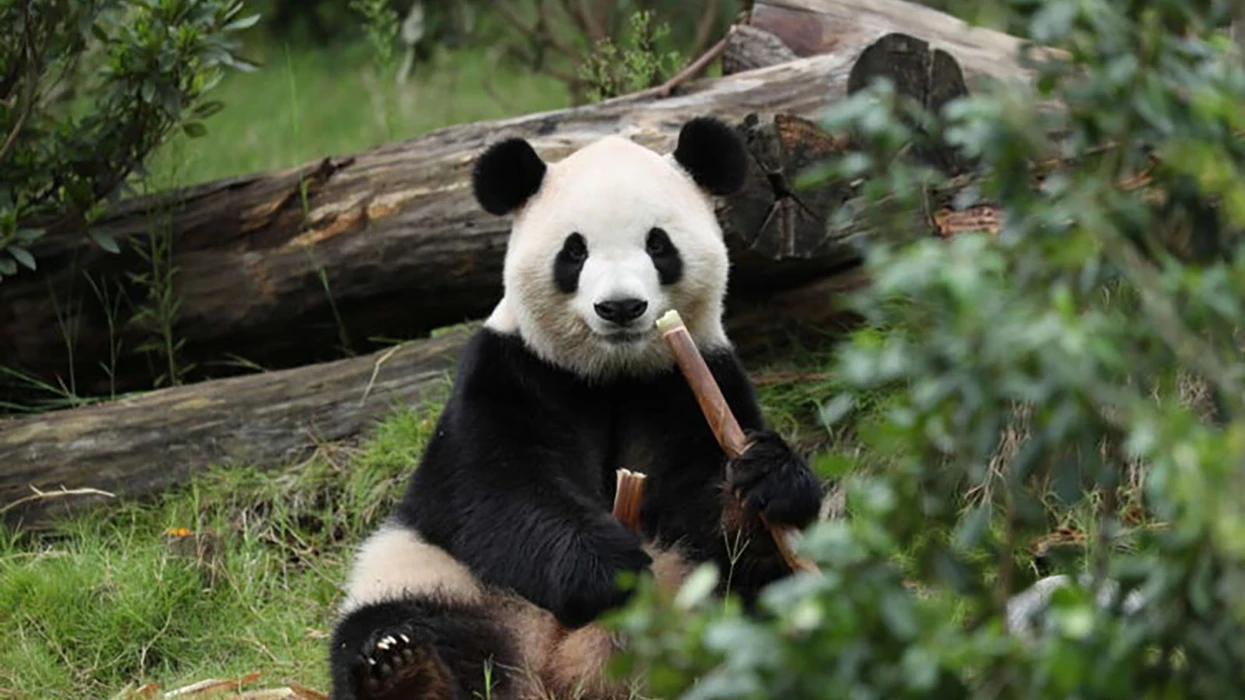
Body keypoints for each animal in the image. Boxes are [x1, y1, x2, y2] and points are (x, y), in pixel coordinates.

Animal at [327, 116, 825, 700]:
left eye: (658, 245)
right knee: (397, 622)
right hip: (435, 574)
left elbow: (702, 503)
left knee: (764, 599)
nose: (620, 307)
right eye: (574, 252)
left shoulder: (690, 381)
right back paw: (405, 670)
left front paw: (765, 479)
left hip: (695, 599)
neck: (612, 374)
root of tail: (559, 669)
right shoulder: (510, 371)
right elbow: (495, 488)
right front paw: (606, 568)